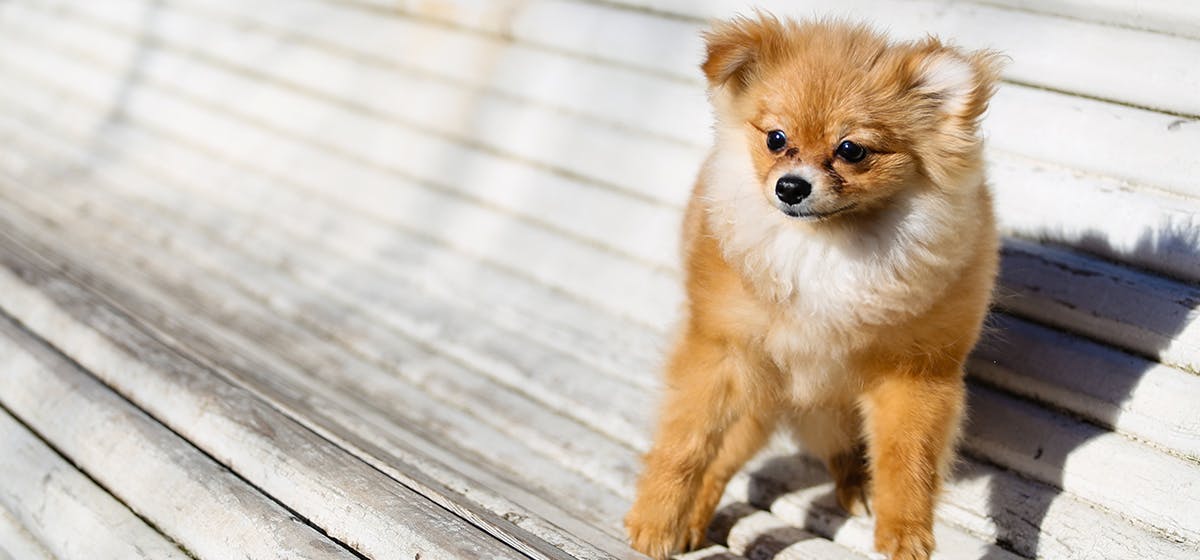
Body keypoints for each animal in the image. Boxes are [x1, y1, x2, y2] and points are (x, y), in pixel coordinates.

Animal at [624, 15, 998, 558]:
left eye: (851, 150)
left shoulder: (917, 374)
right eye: (776, 139)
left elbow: (908, 460)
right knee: (721, 459)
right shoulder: (722, 353)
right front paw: (657, 520)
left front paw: (905, 533)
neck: (824, 246)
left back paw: (857, 486)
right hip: (756, 400)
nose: (791, 186)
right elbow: (686, 443)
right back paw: (692, 520)